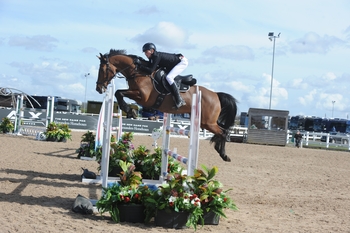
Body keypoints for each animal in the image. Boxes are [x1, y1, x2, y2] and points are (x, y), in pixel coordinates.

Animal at [95, 49, 238, 162]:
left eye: (102, 69)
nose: (98, 88)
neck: (138, 72)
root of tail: (216, 95)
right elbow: (119, 93)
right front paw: (130, 111)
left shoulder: (143, 97)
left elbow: (119, 93)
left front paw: (130, 111)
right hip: (206, 122)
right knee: (222, 131)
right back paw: (220, 151)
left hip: (207, 122)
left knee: (223, 133)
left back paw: (224, 155)